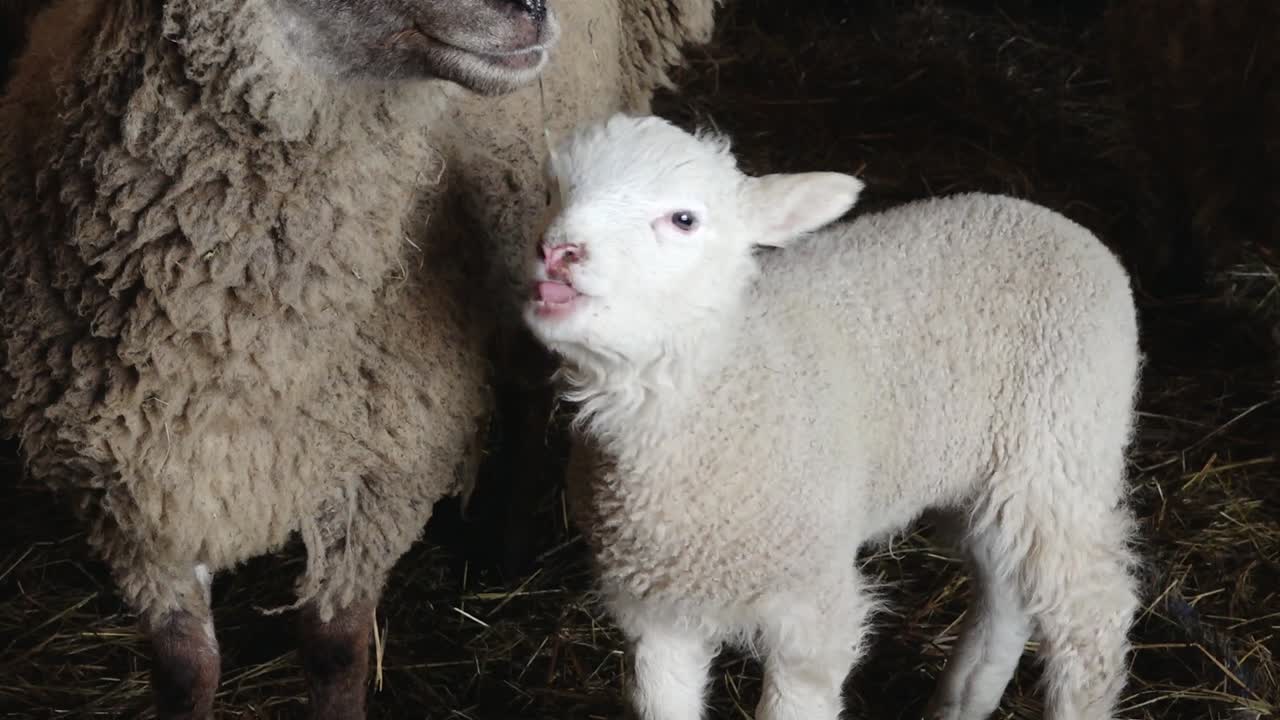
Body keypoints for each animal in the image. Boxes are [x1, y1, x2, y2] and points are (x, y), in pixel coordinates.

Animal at [0, 1, 715, 718]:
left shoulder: (376, 473)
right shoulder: (136, 495)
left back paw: (508, 549)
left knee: (530, 386)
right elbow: (185, 670)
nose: (534, 12)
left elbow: (336, 650)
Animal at [522, 114, 1143, 720]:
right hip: (988, 478)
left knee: (1093, 616)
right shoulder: (653, 610)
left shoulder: (812, 611)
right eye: (552, 192)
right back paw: (961, 702)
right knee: (1006, 590)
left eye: (683, 220)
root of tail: (1055, 220)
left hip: (1062, 447)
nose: (557, 252)